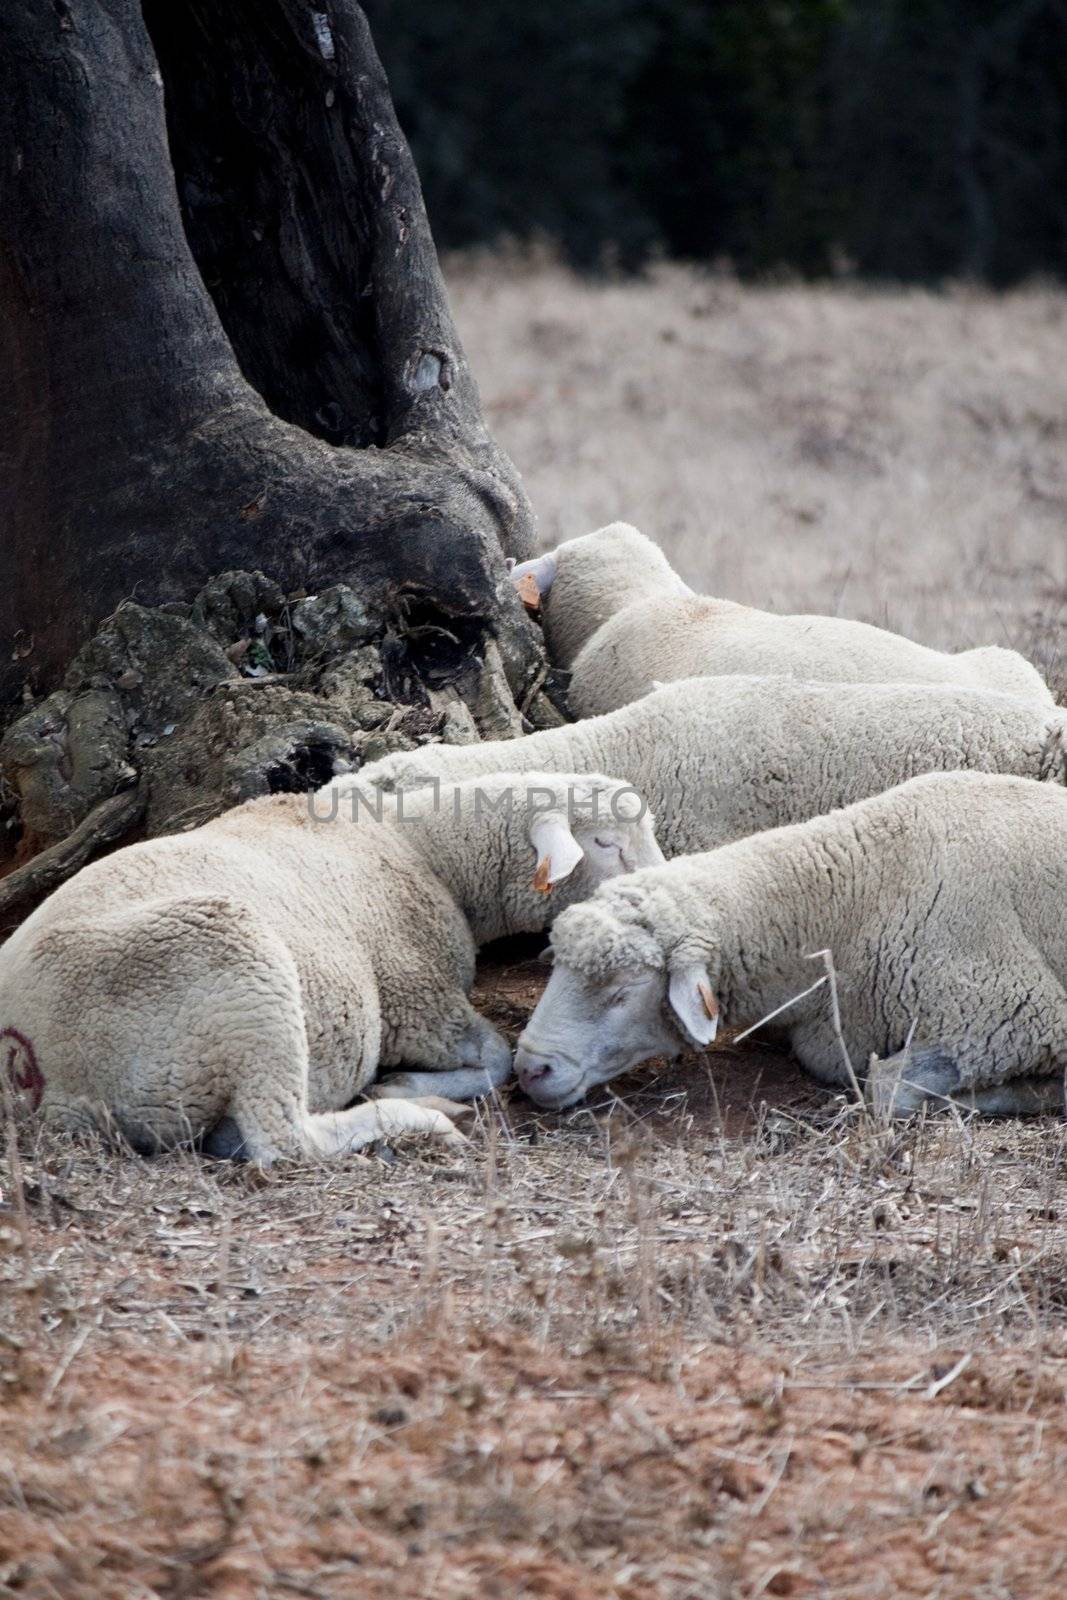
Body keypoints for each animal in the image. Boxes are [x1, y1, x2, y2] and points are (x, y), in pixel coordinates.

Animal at [0, 768, 662, 1158]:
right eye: (606, 843)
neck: (423, 848)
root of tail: (22, 1060)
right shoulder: (415, 997)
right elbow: (499, 1058)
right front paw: (406, 1082)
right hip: (237, 969)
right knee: (283, 1142)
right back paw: (417, 1115)